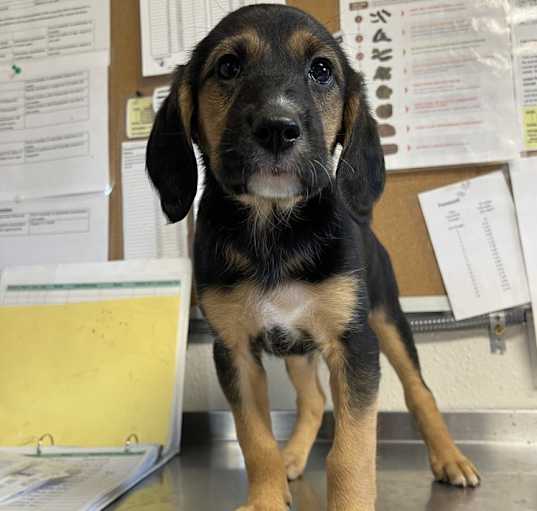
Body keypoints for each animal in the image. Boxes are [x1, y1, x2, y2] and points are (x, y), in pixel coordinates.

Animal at [146, 5, 478, 511]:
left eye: (321, 70)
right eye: (228, 67)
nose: (278, 128)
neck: (274, 229)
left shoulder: (355, 345)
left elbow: (352, 452)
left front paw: (352, 502)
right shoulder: (234, 350)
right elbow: (255, 439)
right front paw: (265, 498)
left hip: (387, 319)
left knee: (419, 391)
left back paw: (450, 459)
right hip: (297, 347)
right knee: (313, 400)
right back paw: (292, 458)